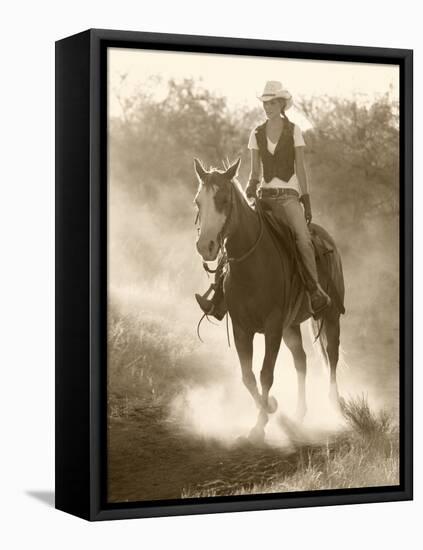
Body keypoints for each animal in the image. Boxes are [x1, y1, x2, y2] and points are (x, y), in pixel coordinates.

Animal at [194, 158, 346, 440]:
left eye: (223, 199)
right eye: (198, 201)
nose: (205, 246)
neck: (253, 264)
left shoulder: (273, 326)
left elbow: (266, 374)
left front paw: (260, 424)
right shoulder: (242, 328)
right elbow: (248, 376)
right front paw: (270, 408)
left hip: (330, 317)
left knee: (332, 355)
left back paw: (334, 405)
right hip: (291, 326)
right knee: (301, 360)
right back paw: (299, 413)